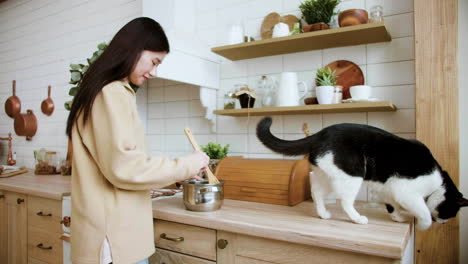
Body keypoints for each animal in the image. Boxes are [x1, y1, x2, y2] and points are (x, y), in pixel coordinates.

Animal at [258, 116, 466, 230]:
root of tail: (322, 133)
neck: (439, 182)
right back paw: (357, 218)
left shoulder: (387, 187)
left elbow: (391, 204)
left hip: (328, 173)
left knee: (315, 189)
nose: (444, 224)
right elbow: (422, 211)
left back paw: (323, 213)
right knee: (344, 201)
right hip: (352, 173)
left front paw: (397, 217)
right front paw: (423, 225)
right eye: (452, 212)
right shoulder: (405, 191)